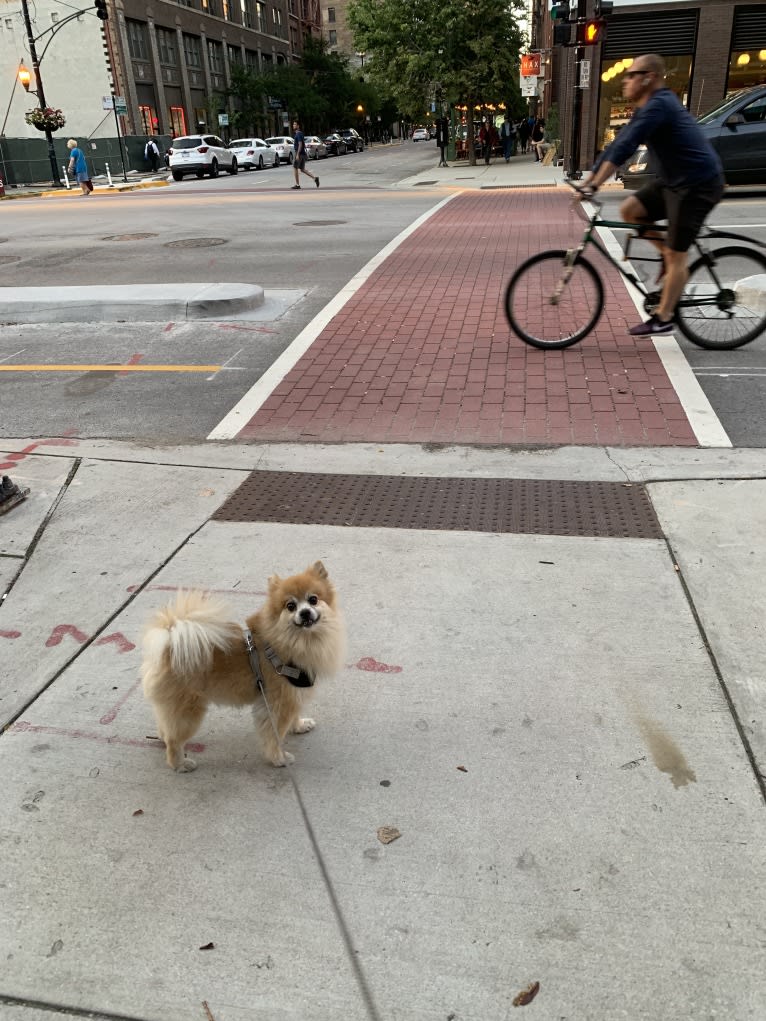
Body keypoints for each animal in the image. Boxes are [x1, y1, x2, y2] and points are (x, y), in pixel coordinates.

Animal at [142, 563, 347, 767]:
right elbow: (275, 734)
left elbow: (294, 715)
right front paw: (278, 758)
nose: (304, 612)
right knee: (174, 740)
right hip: (189, 712)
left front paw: (299, 725)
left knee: (166, 727)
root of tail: (169, 645)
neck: (295, 639)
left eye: (313, 599)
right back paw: (180, 764)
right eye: (290, 606)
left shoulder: (293, 695)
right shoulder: (279, 702)